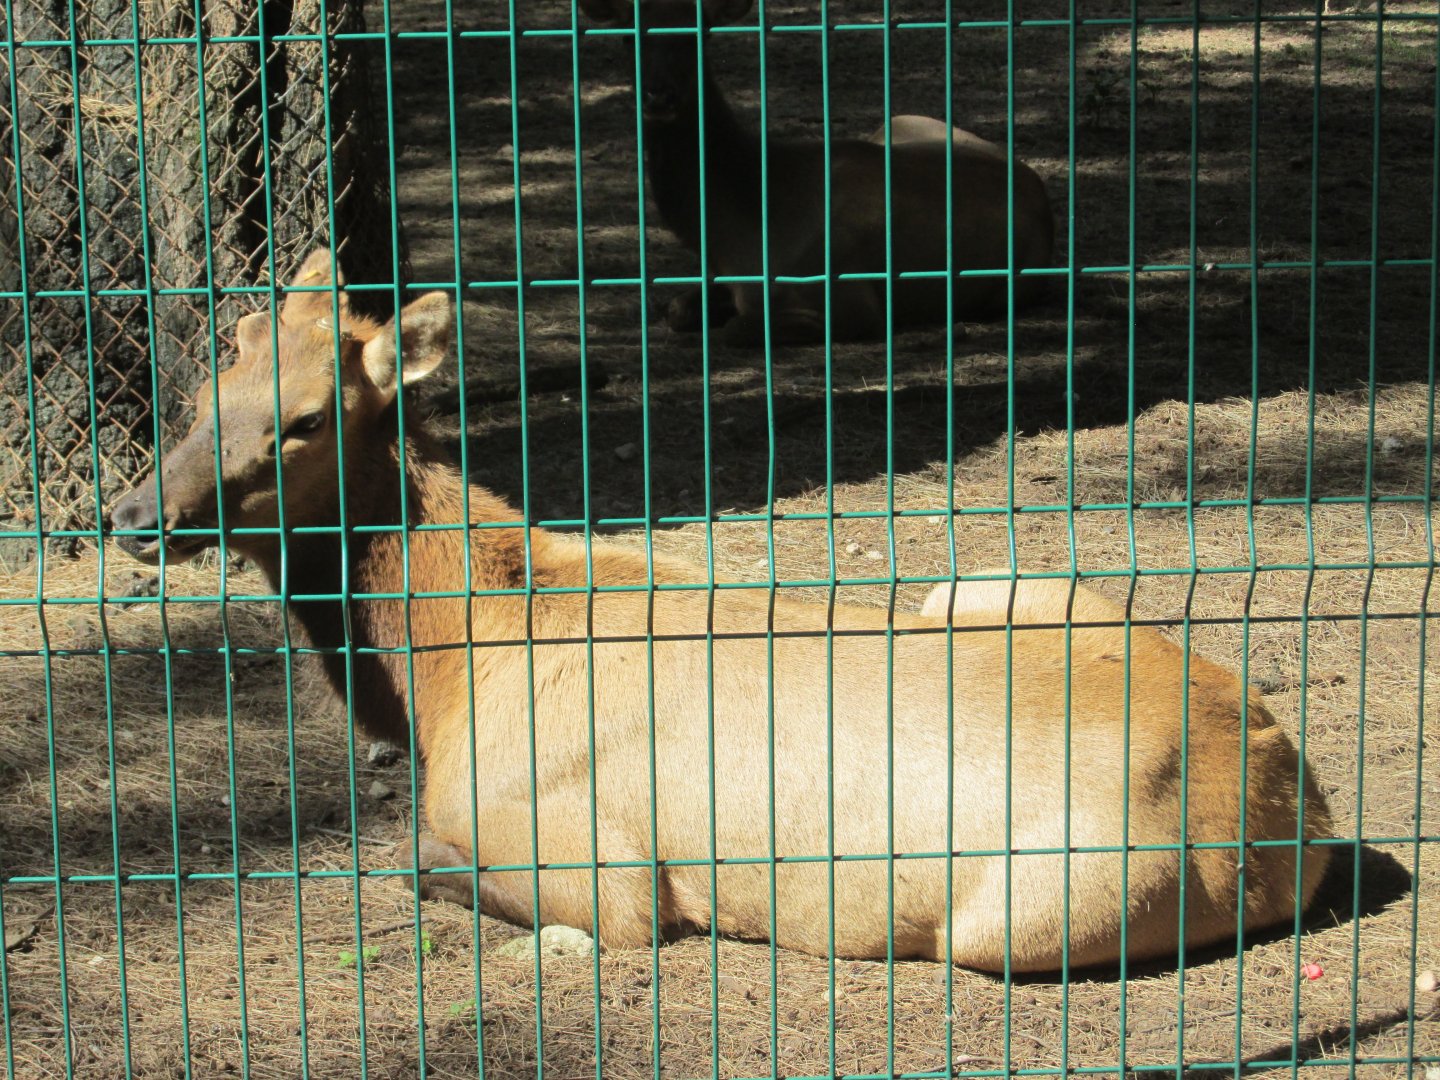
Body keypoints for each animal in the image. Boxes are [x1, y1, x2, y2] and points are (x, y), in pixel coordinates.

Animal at [110, 250, 1331, 973]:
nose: (133, 514)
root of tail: (1299, 798)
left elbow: (423, 859)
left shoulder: (596, 865)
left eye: (307, 418)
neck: (443, 677)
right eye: (206, 384)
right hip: (985, 588)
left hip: (1028, 910)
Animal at [582, 0, 1056, 347]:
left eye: (701, 30)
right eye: (626, 33)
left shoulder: (851, 301)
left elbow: (734, 330)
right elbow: (678, 311)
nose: (659, 95)